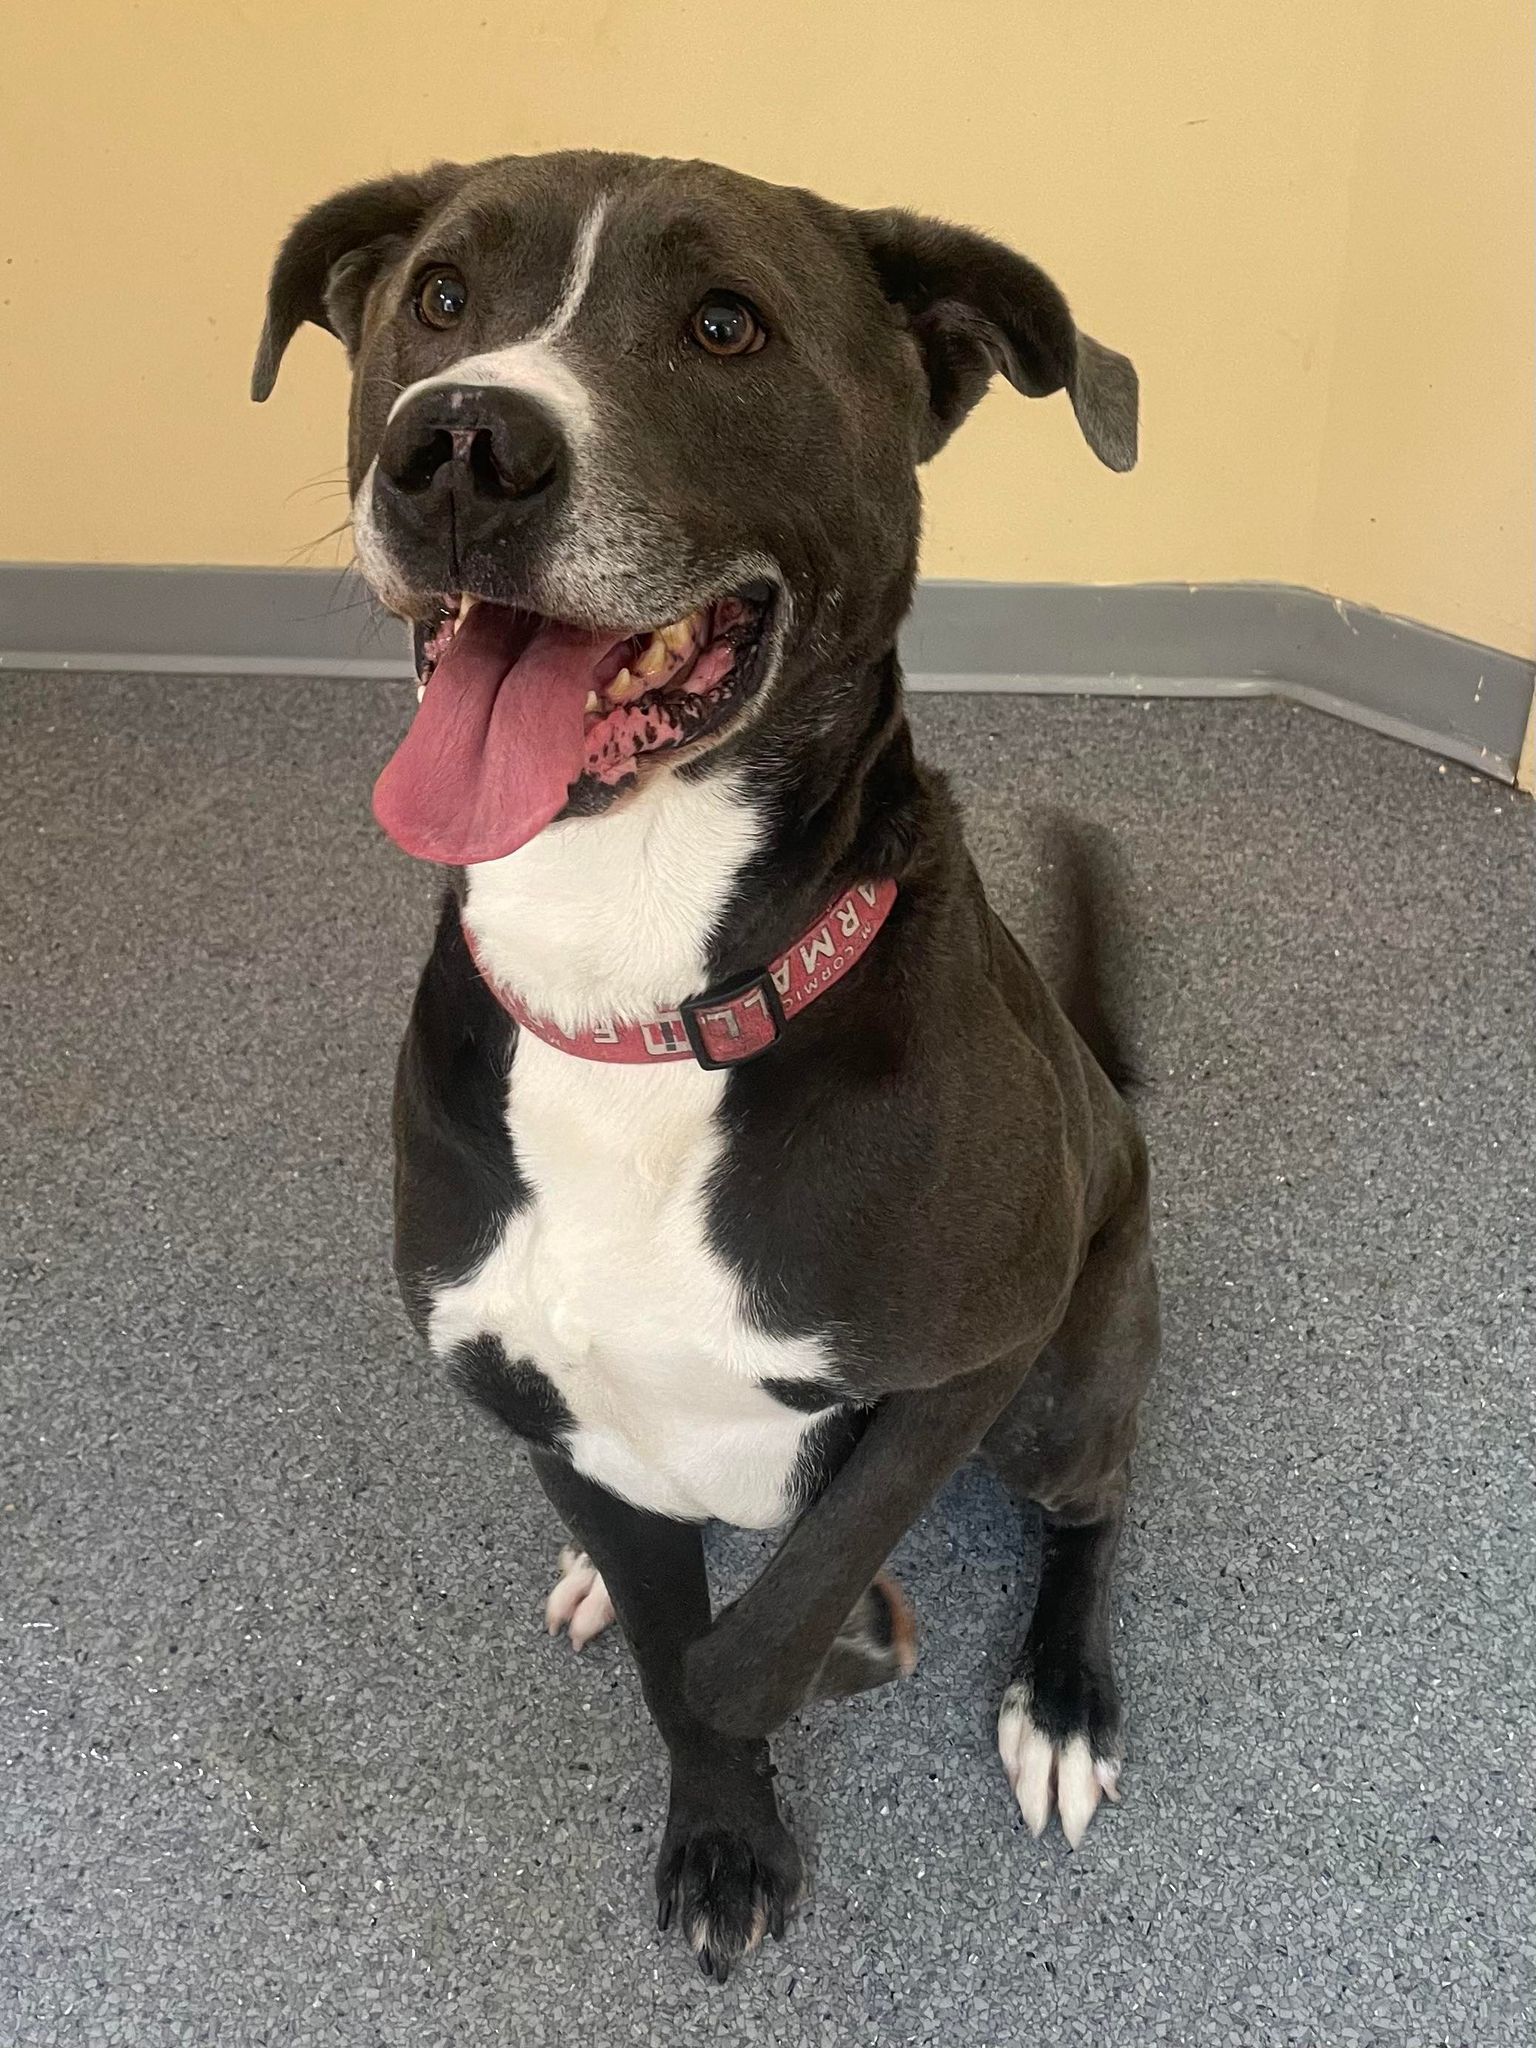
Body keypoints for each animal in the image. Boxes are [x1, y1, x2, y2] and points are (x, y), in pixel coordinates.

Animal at [259, 148, 1163, 1982]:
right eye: (438, 298)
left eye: (727, 326)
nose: (460, 441)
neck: (638, 996)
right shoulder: (534, 1387)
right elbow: (679, 1652)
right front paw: (722, 1820)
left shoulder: (964, 1360)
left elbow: (766, 1625)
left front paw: (845, 1636)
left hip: (1061, 1381)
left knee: (1090, 1504)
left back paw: (1059, 1694)